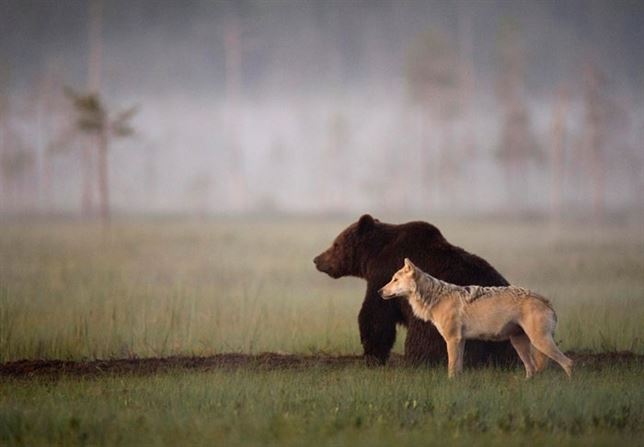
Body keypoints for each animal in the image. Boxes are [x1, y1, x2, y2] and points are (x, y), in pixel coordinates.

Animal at [313, 214, 516, 367]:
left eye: (336, 244)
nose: (317, 259)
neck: (373, 256)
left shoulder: (384, 275)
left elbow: (376, 316)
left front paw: (372, 355)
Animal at [379, 258, 573, 379]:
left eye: (394, 280)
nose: (379, 291)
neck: (435, 298)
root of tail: (544, 299)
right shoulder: (461, 340)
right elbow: (458, 368)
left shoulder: (452, 340)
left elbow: (451, 368)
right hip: (520, 344)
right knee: (532, 369)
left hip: (539, 342)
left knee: (568, 363)